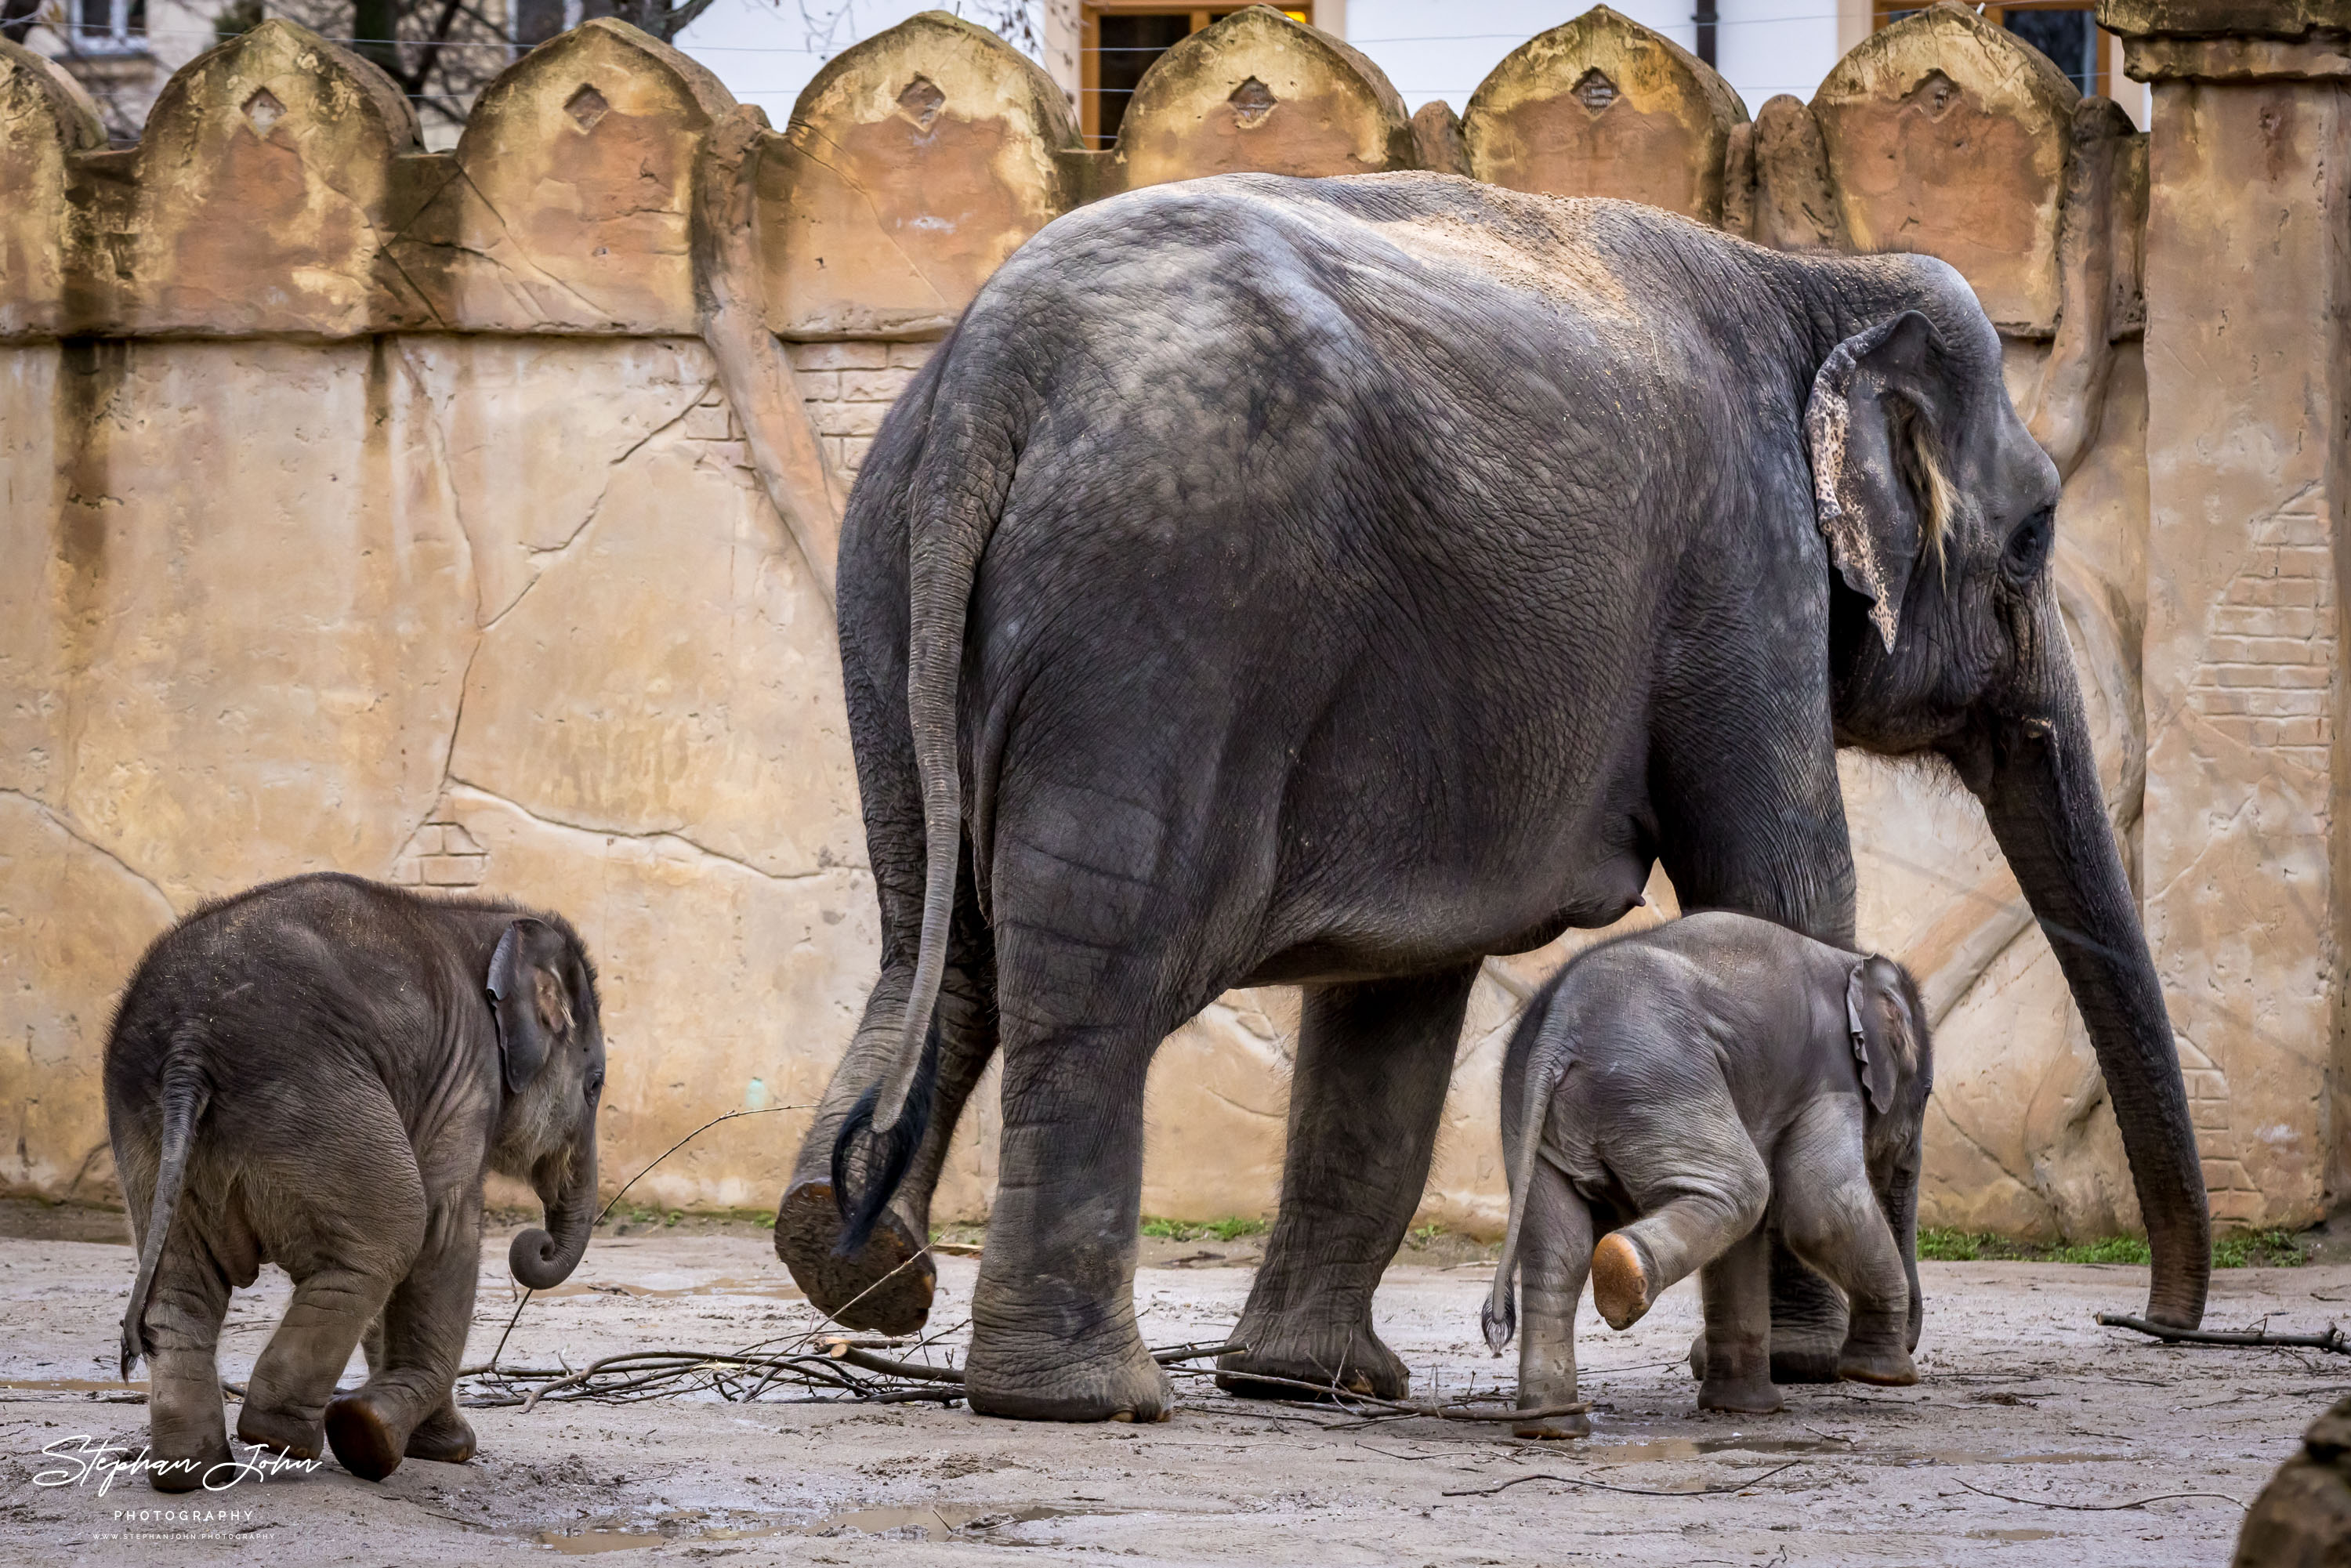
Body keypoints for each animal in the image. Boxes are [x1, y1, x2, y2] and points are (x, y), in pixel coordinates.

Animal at [109, 879, 607, 1495]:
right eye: (595, 1085)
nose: (536, 1243)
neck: (483, 919)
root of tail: (189, 1042)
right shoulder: (466, 1074)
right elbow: (444, 1228)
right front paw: (428, 1445)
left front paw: (431, 1445)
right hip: (315, 1100)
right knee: (391, 1237)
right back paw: (288, 1437)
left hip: (153, 1132)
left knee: (182, 1291)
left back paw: (194, 1471)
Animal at [1486, 907, 1928, 1439]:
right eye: (1926, 1094)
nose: (1911, 1347)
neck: (1853, 961)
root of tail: (1557, 1032)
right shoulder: (1829, 1076)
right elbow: (1820, 1210)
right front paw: (1884, 1376)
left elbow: (1755, 1236)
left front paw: (1744, 1410)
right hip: (1660, 1082)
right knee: (1743, 1189)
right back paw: (1621, 1273)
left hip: (1531, 1113)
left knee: (1558, 1254)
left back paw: (1553, 1426)